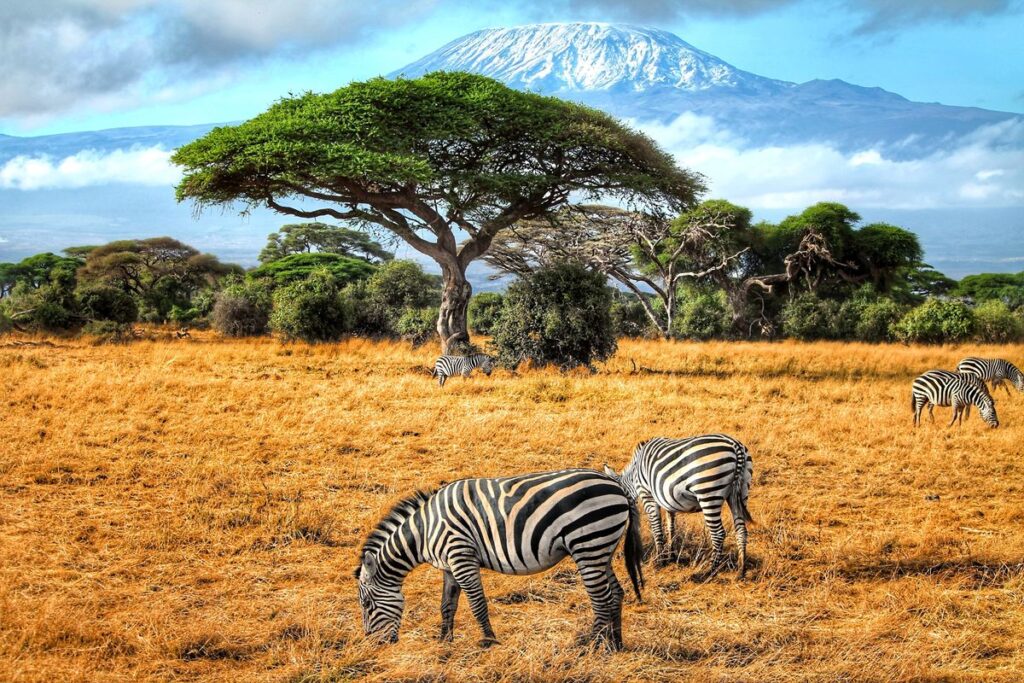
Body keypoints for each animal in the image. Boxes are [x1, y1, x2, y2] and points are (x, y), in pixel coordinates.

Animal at [355, 469, 644, 650]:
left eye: (367, 604)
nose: (375, 644)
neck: (425, 530)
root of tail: (617, 486)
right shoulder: (449, 566)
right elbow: (447, 605)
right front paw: (444, 642)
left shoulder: (461, 556)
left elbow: (477, 604)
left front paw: (489, 641)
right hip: (601, 548)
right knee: (616, 593)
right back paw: (614, 644)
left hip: (588, 545)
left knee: (601, 599)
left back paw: (589, 645)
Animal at [604, 434, 753, 581]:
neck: (634, 477)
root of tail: (735, 446)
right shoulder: (667, 500)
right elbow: (671, 527)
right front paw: (671, 555)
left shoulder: (648, 496)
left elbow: (657, 529)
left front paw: (660, 561)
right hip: (739, 492)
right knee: (741, 530)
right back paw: (741, 571)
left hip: (708, 492)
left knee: (718, 533)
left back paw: (709, 572)